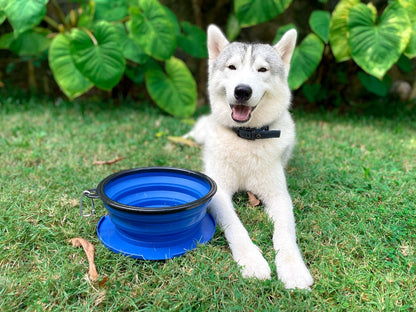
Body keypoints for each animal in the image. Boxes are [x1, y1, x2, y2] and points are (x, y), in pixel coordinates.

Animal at [187, 25, 314, 290]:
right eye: (232, 67)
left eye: (262, 70)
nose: (242, 91)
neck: (246, 138)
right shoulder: (219, 193)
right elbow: (235, 226)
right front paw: (252, 261)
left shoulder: (279, 197)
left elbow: (285, 234)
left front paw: (293, 269)